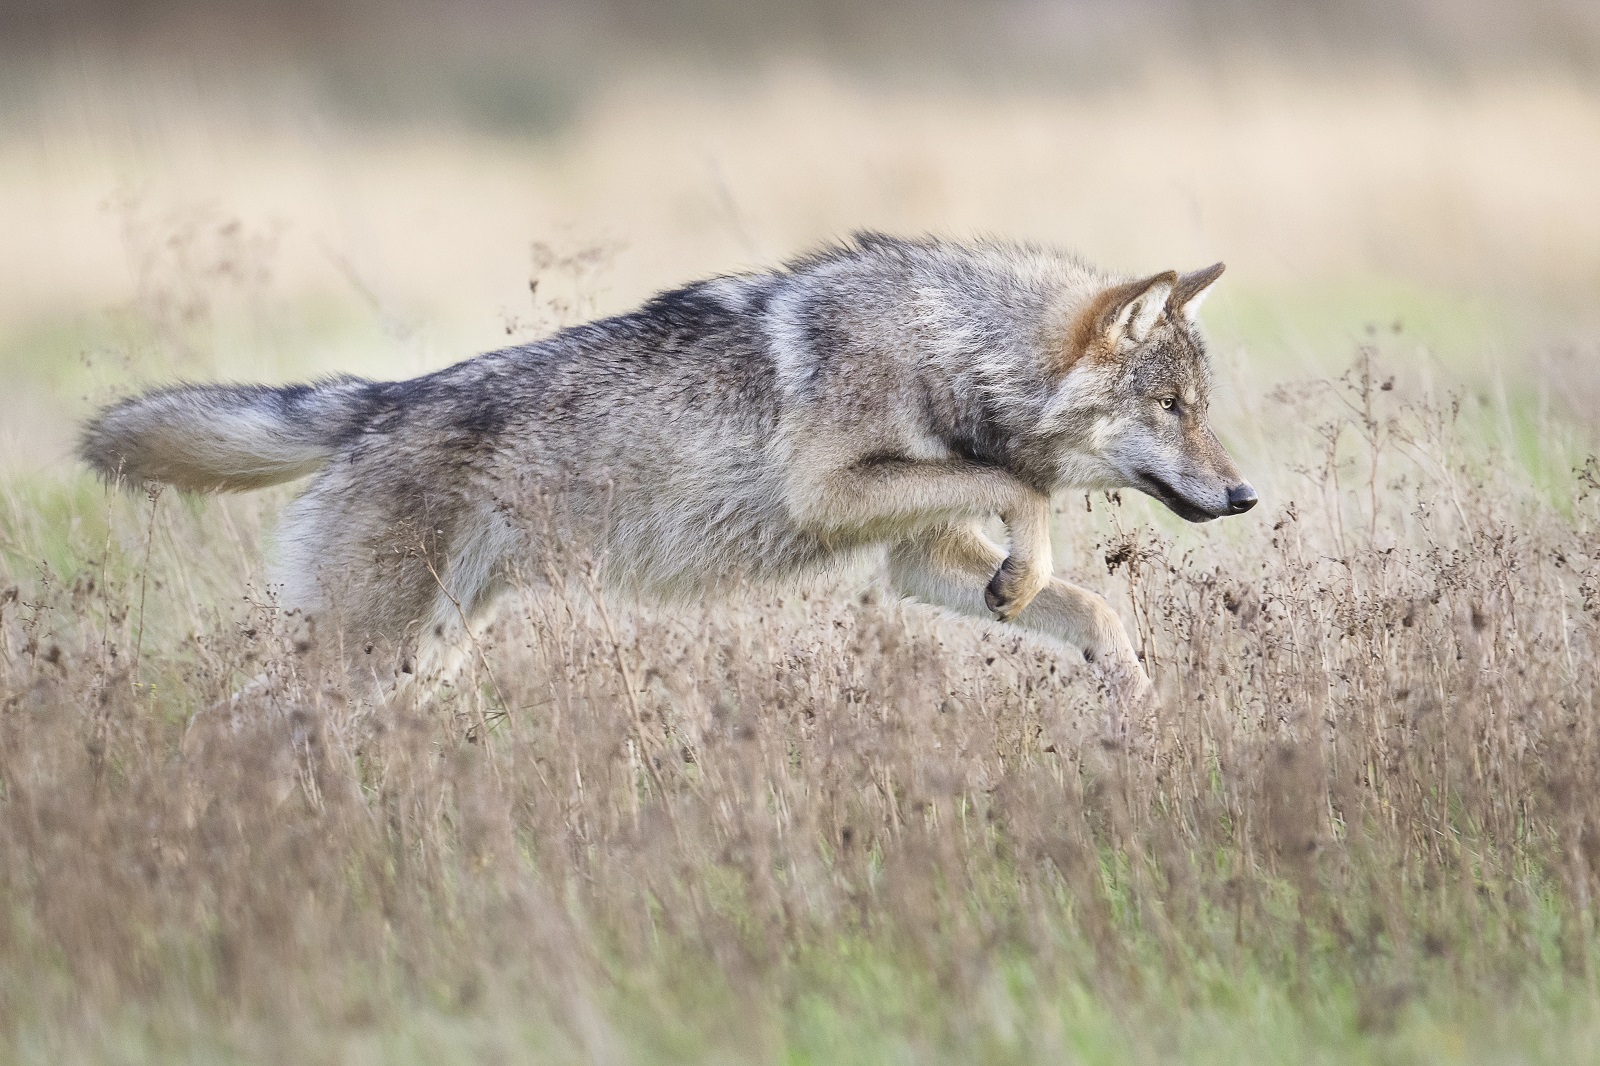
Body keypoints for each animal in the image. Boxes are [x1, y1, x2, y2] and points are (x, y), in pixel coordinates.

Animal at [81, 232, 1260, 697]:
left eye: (1201, 411)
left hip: (421, 657)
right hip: (365, 655)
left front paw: (1130, 696)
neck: (951, 346)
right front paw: (1027, 566)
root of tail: (377, 400)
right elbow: (1019, 489)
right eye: (1169, 408)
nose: (1246, 495)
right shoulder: (828, 491)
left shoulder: (914, 559)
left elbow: (1089, 604)